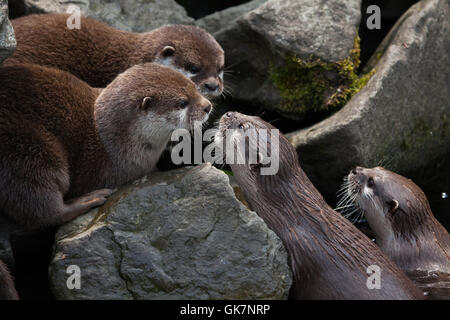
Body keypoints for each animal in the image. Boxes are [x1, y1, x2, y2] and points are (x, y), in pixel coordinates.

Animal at [0, 62, 212, 230]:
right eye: (182, 102)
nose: (208, 106)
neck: (113, 142)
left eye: (194, 87)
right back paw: (89, 199)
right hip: (27, 150)